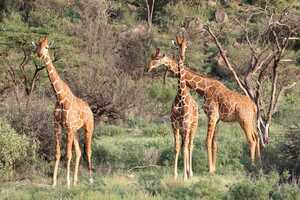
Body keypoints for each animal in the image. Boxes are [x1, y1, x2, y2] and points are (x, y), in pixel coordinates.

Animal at [32, 37, 94, 188]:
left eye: (47, 47)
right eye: (37, 46)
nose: (39, 54)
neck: (59, 97)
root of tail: (90, 109)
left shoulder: (69, 127)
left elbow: (68, 155)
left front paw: (67, 183)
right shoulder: (58, 126)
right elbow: (58, 153)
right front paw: (54, 182)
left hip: (88, 127)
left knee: (88, 151)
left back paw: (90, 179)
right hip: (75, 131)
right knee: (79, 152)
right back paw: (76, 180)